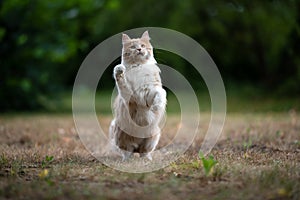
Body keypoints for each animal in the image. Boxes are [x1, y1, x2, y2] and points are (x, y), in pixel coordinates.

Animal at [109, 30, 168, 160]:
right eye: (132, 47)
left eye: (142, 45)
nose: (139, 49)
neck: (139, 67)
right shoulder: (129, 96)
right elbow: (121, 80)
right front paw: (119, 70)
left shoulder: (151, 91)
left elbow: (161, 94)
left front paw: (156, 106)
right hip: (119, 132)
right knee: (127, 152)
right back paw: (126, 160)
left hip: (153, 136)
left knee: (144, 152)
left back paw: (147, 160)